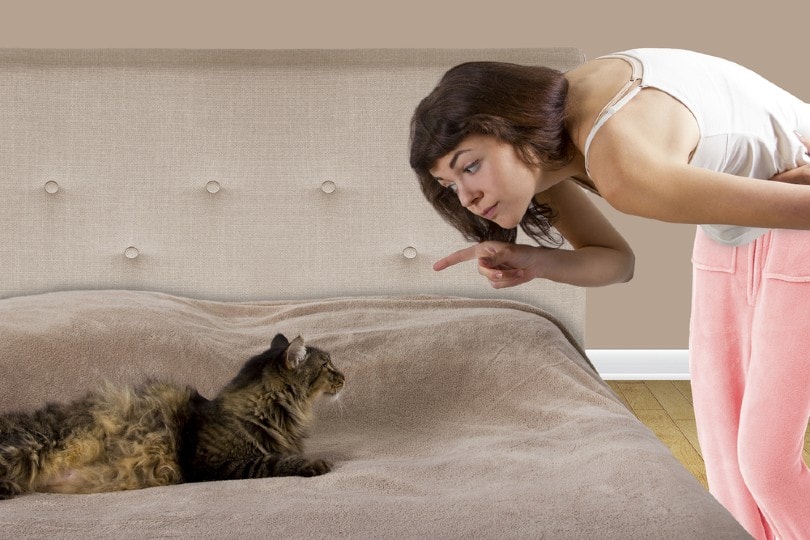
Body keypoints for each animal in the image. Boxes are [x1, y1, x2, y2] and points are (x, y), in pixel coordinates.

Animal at [0, 336, 344, 500]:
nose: (344, 376)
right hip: (27, 447)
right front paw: (314, 463)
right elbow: (272, 461)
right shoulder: (210, 463)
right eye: (327, 366)